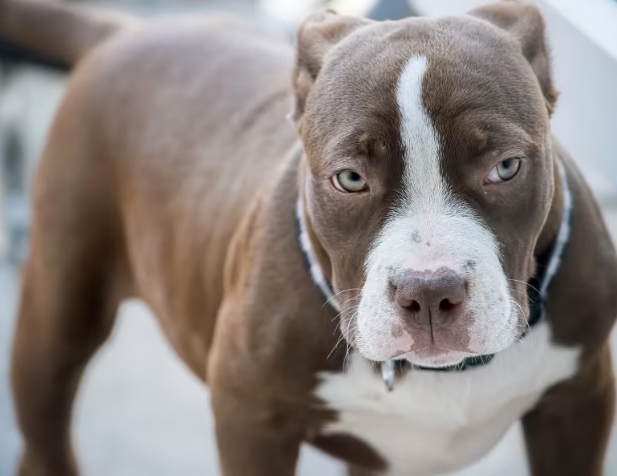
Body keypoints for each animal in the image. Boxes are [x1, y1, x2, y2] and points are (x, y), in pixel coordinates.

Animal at [3, 0, 616, 474]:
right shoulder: (251, 421)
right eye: (350, 178)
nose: (429, 292)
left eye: (506, 167)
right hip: (57, 315)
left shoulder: (579, 402)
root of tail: (124, 31)